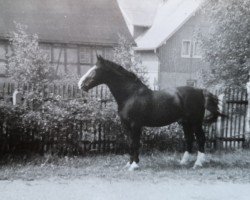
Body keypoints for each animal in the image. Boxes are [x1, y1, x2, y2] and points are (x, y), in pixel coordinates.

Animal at [78, 55, 223, 170]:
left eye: (94, 71)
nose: (80, 84)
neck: (131, 95)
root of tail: (200, 91)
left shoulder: (136, 125)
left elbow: (135, 143)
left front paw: (134, 165)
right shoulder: (126, 126)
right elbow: (130, 143)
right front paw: (129, 163)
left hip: (195, 122)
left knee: (201, 139)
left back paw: (198, 163)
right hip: (185, 123)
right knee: (189, 139)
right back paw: (183, 162)